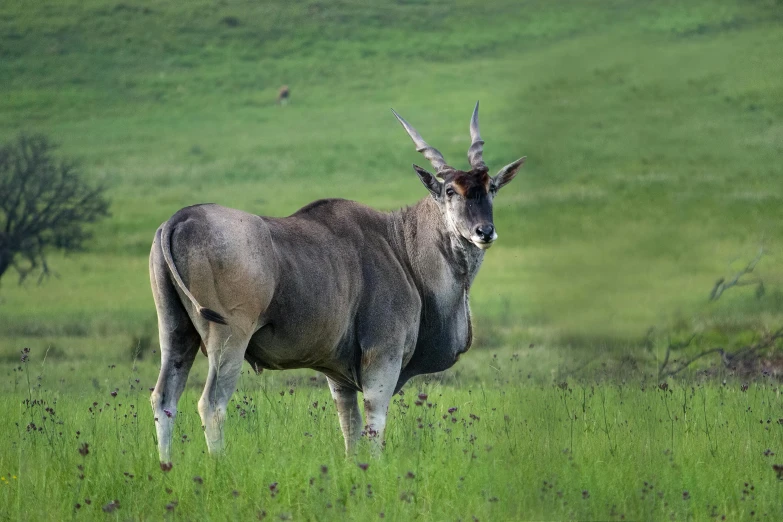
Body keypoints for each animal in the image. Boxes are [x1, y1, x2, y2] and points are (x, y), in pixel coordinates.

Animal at [147, 102, 528, 460]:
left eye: (492, 188)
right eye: (450, 191)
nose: (484, 232)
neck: (401, 245)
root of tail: (179, 219)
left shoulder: (337, 373)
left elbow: (349, 426)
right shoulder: (382, 357)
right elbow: (374, 423)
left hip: (176, 332)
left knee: (164, 397)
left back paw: (167, 467)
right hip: (229, 338)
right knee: (211, 404)